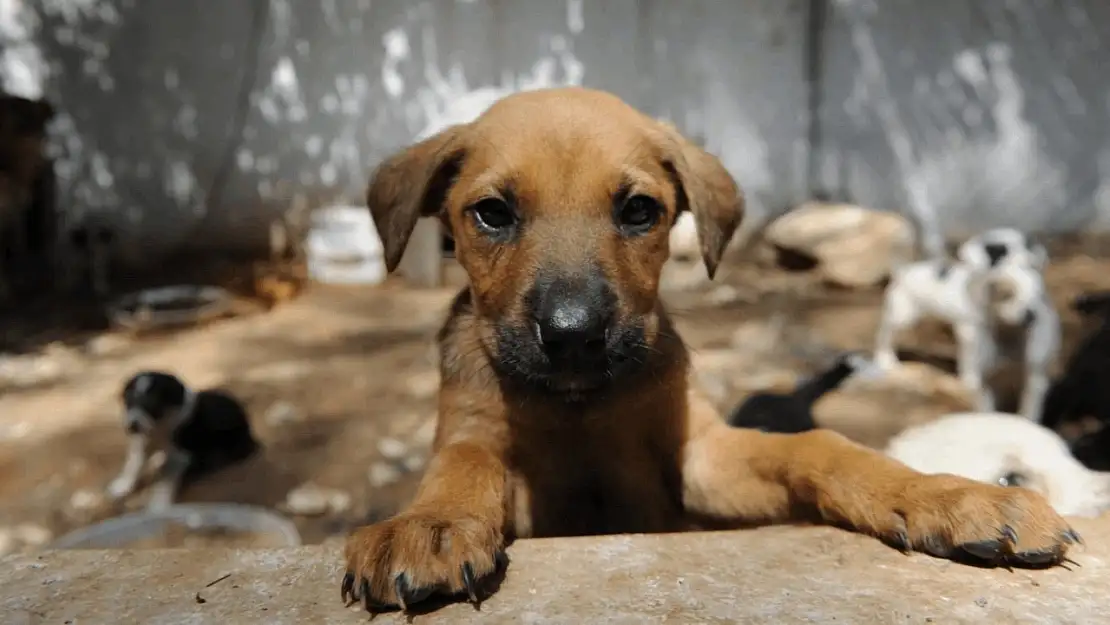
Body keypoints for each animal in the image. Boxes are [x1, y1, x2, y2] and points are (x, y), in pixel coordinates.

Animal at [104, 370, 258, 508]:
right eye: (128, 402)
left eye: (153, 403)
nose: (132, 427)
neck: (161, 425)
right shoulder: (144, 442)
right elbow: (133, 464)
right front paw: (122, 486)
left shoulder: (179, 457)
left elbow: (165, 482)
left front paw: (158, 506)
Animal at [870, 227, 1061, 424]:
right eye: (1007, 295)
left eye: (1037, 294)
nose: (1032, 316)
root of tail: (904, 271)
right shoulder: (983, 379)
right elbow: (986, 406)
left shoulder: (1035, 379)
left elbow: (1030, 410)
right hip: (903, 316)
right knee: (884, 335)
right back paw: (886, 360)